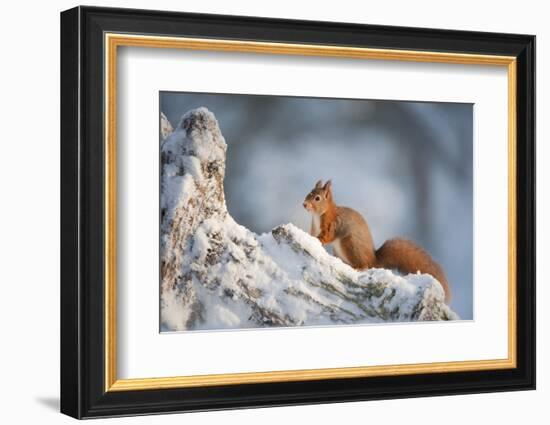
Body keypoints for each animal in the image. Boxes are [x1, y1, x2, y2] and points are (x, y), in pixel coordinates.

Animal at [306, 178, 452, 302]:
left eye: (317, 198)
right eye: (309, 193)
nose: (304, 204)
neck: (319, 215)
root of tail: (374, 260)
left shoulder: (333, 225)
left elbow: (327, 236)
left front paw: (318, 240)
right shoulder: (314, 227)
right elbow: (312, 234)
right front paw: (310, 237)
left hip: (350, 245)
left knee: (364, 265)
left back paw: (359, 267)